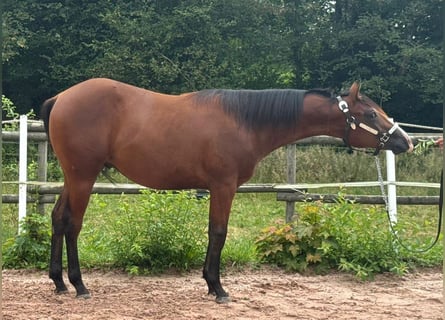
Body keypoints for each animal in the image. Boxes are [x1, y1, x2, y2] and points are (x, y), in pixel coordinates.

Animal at [40, 77, 412, 302]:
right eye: (369, 114)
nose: (405, 141)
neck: (245, 121)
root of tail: (61, 97)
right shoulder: (223, 186)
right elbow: (218, 232)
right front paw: (217, 287)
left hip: (72, 177)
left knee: (58, 219)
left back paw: (58, 282)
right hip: (83, 177)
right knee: (73, 224)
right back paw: (79, 285)